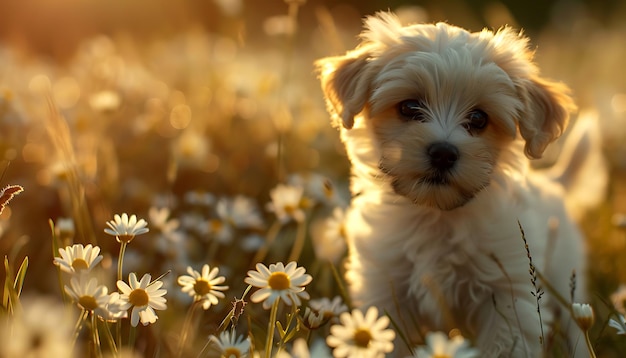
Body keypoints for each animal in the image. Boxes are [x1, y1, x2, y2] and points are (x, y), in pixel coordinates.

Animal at [314, 11, 592, 358]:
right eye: (409, 107)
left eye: (479, 119)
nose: (444, 153)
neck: (437, 215)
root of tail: (552, 180)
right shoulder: (385, 286)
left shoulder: (508, 292)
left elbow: (506, 344)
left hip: (565, 275)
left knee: (575, 321)